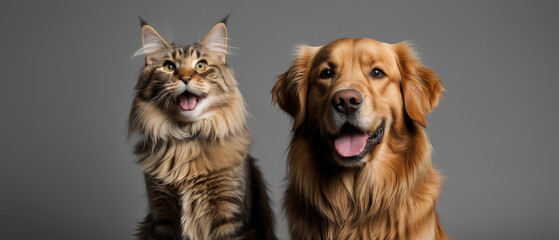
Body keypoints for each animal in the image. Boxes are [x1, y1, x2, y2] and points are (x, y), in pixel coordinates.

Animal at [127, 16, 276, 240]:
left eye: (200, 66)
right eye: (169, 66)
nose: (185, 78)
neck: (187, 142)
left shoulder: (229, 215)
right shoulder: (162, 214)